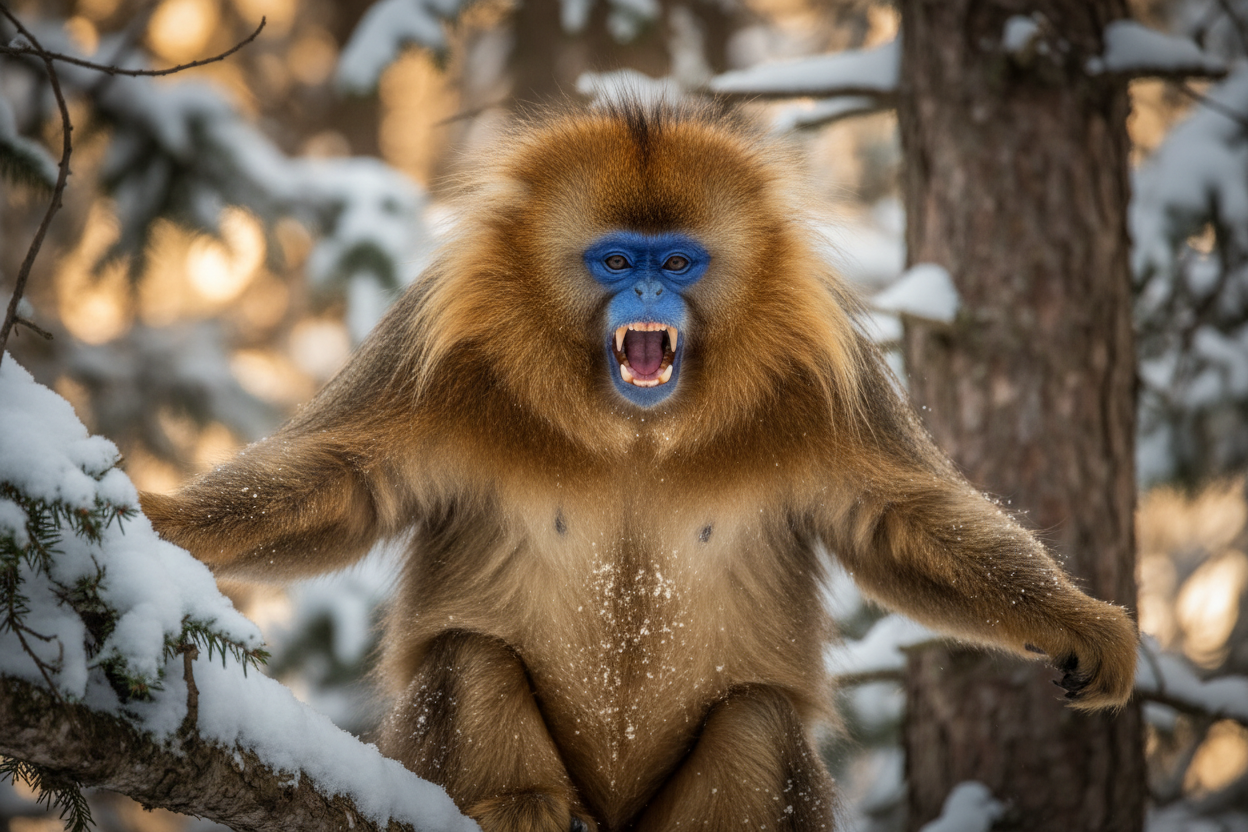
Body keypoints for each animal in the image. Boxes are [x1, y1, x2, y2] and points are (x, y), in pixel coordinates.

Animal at [141, 98, 1139, 832]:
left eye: (680, 263)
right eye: (617, 260)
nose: (650, 293)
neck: (634, 429)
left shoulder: (829, 377)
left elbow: (897, 518)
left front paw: (1078, 620)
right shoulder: (433, 348)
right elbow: (346, 480)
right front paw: (162, 524)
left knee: (758, 715)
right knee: (471, 654)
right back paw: (521, 804)